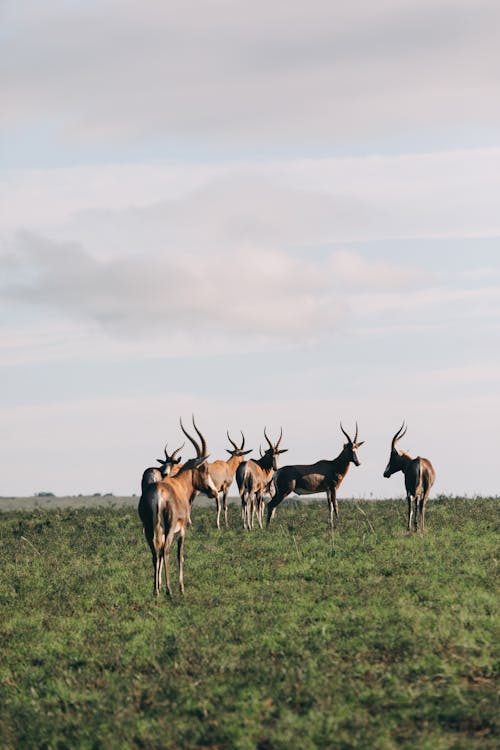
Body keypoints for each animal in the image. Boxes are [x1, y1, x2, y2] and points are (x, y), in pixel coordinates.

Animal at [137, 418, 217, 600]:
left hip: (150, 528)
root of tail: (158, 492)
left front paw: (159, 586)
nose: (213, 491)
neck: (179, 484)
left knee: (155, 552)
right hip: (169, 527)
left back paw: (156, 590)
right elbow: (180, 555)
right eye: (204, 468)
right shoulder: (182, 530)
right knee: (165, 550)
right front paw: (181, 587)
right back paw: (169, 589)